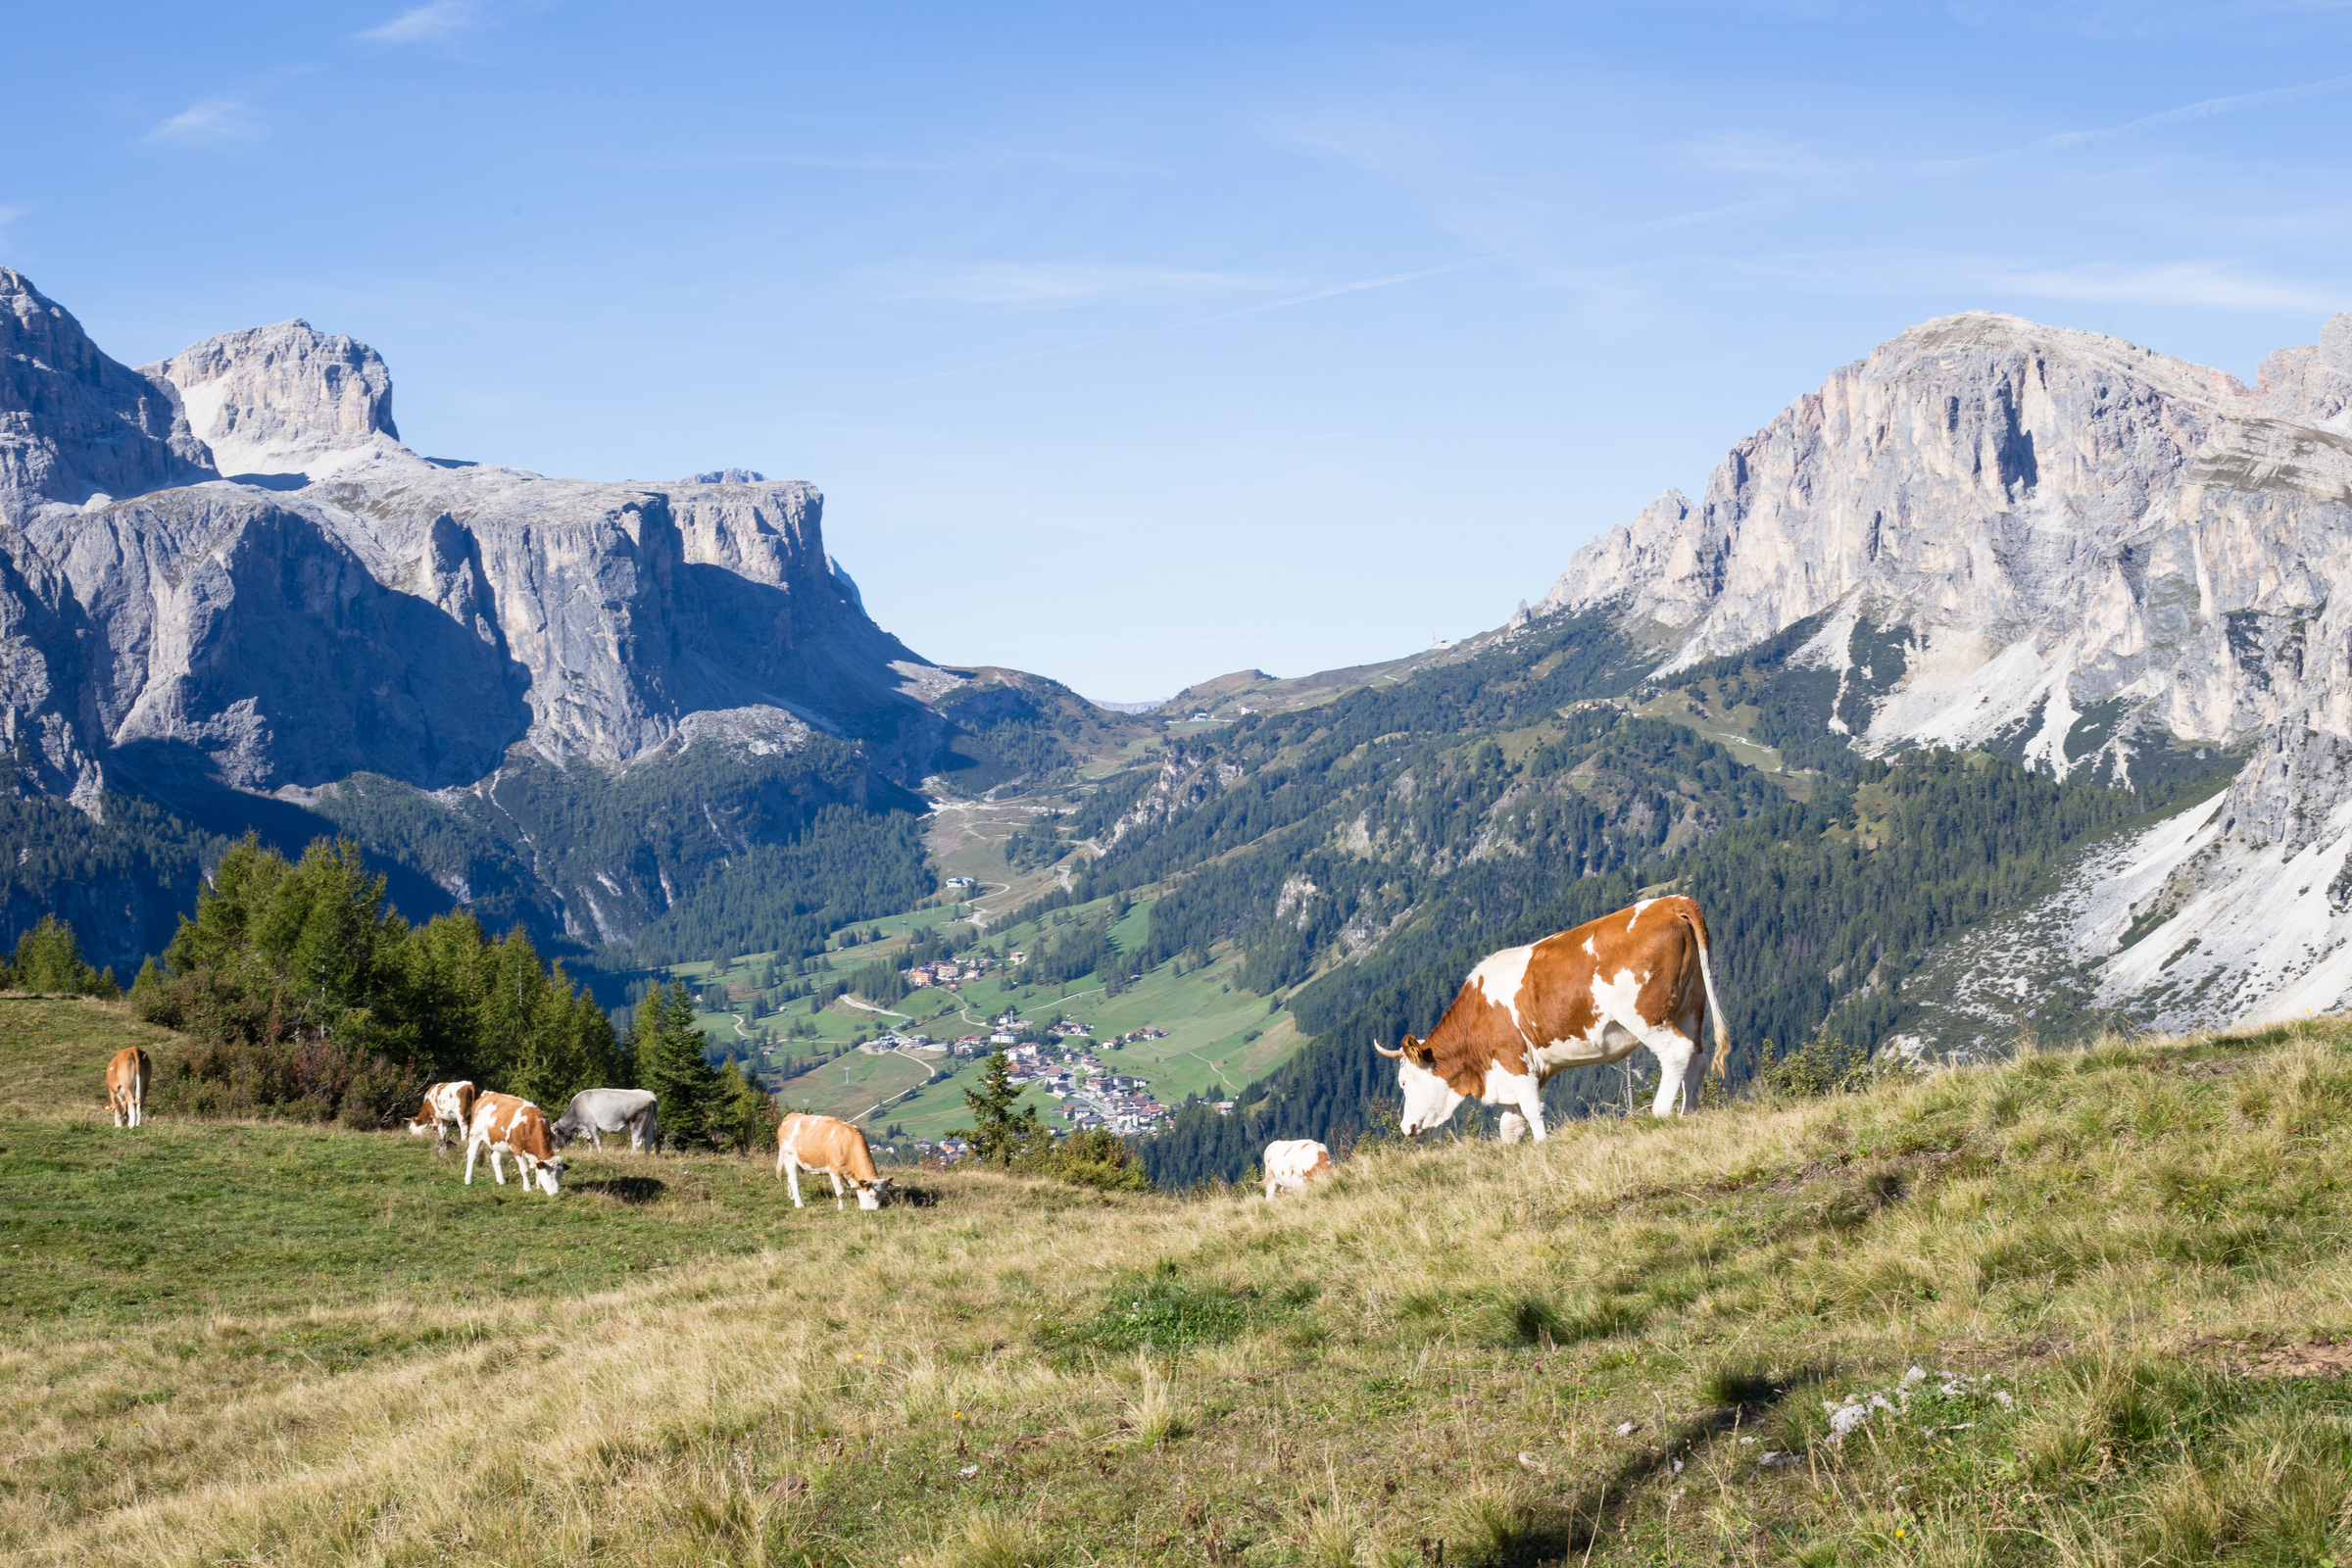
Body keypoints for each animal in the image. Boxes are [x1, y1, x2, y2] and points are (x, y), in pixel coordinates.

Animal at [1375, 894, 1730, 1142]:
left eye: (1404, 1082)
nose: (1406, 1127)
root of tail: (1671, 902)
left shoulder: (1513, 1060)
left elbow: (1532, 1111)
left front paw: (1543, 1145)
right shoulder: (1511, 1074)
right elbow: (1510, 1125)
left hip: (1646, 1015)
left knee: (1677, 1053)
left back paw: (1661, 1112)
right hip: (1689, 1007)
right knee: (1697, 1059)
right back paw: (1688, 1114)